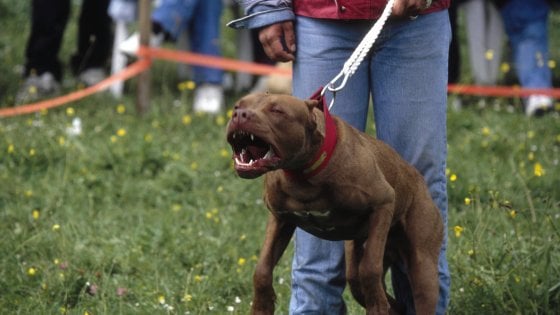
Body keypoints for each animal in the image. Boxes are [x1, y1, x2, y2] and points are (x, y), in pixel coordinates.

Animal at [225, 92, 444, 314]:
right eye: (237, 106)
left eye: (277, 111)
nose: (240, 115)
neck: (303, 172)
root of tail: (420, 180)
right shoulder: (279, 218)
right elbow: (262, 268)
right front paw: (262, 305)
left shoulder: (383, 202)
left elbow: (369, 268)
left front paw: (377, 304)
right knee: (373, 290)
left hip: (423, 267)